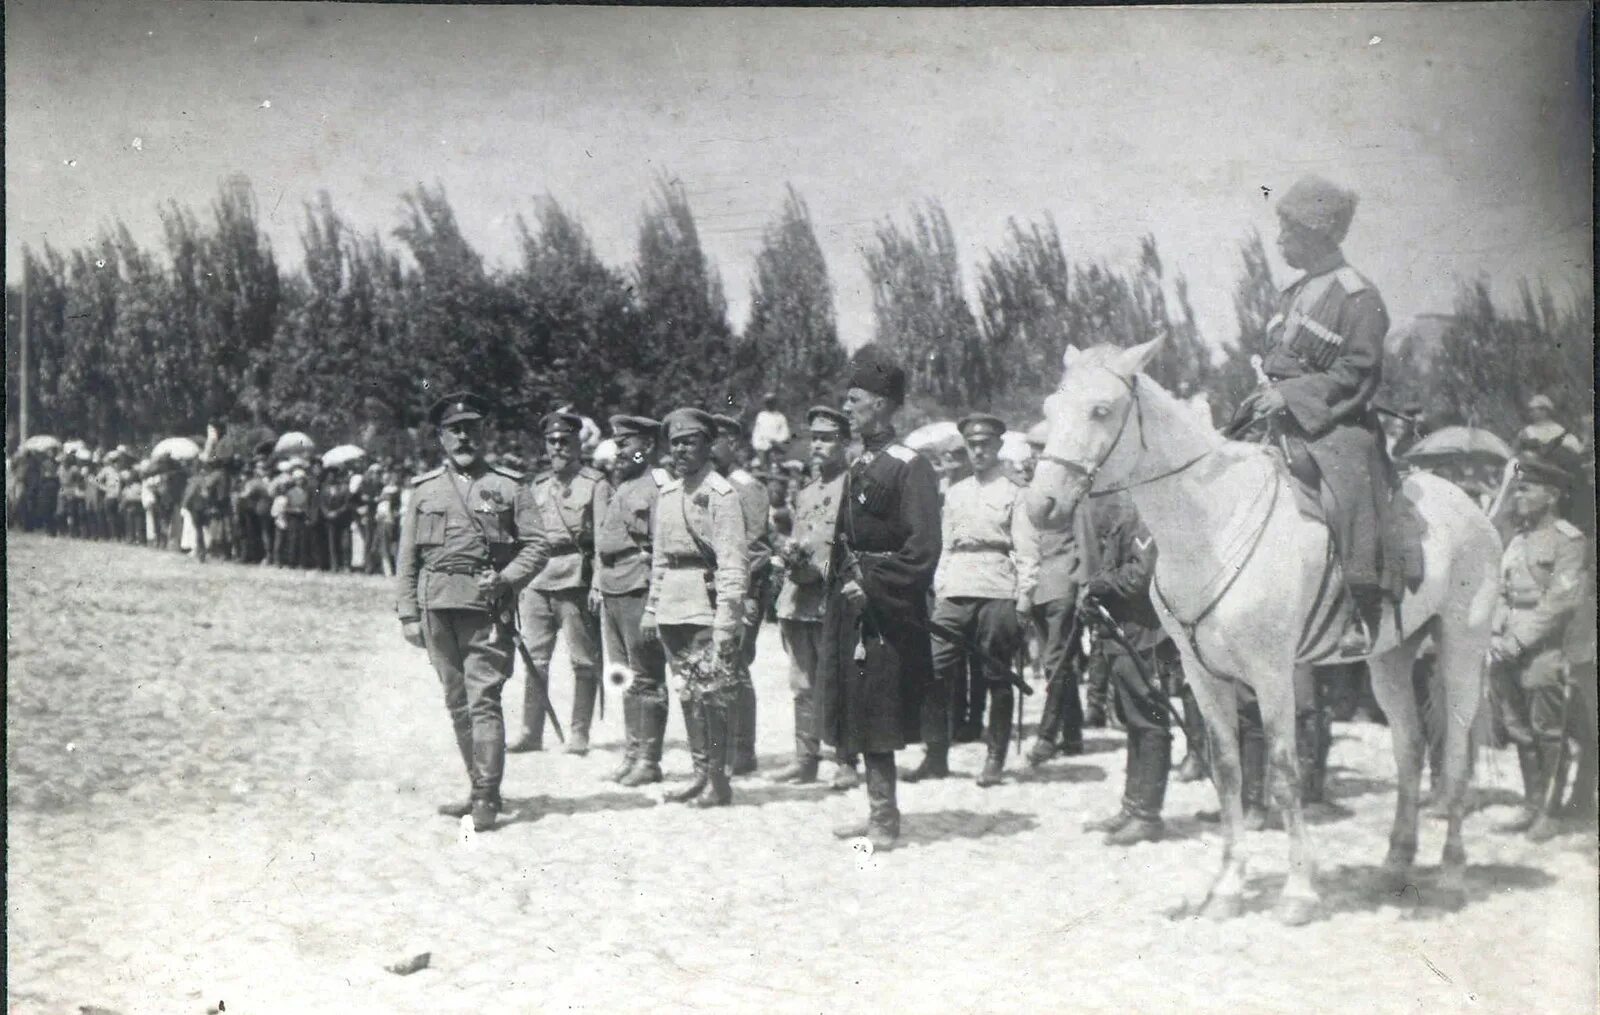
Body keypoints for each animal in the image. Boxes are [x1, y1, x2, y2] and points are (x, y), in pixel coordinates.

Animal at [1024, 336, 1497, 922]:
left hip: (1462, 649)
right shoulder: (1203, 675)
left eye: (1100, 410)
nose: (1040, 506)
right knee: (1408, 748)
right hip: (1389, 657)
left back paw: (1452, 872)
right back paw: (1395, 861)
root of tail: (1473, 507)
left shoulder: (1272, 674)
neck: (1209, 525)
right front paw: (1227, 886)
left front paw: (1298, 891)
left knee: (1453, 754)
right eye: (1050, 409)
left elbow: (1284, 770)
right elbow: (1227, 771)